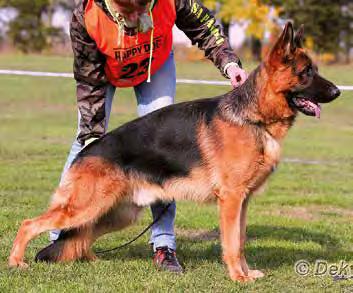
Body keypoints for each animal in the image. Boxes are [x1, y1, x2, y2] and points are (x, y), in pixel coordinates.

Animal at [8, 22, 338, 280]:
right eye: (306, 72)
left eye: (314, 70)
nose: (337, 92)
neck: (253, 116)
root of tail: (85, 153)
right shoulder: (231, 200)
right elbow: (232, 243)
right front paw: (237, 277)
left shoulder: (243, 201)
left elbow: (241, 240)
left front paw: (246, 273)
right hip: (86, 207)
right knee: (30, 224)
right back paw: (16, 262)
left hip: (117, 213)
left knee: (81, 236)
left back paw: (90, 260)